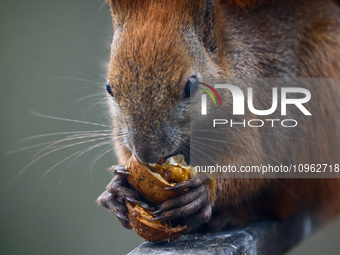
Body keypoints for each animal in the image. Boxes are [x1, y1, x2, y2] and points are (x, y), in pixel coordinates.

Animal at [97, 0, 340, 234]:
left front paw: (206, 190)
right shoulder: (121, 132)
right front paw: (115, 189)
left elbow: (252, 163)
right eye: (109, 88)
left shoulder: (248, 117)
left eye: (190, 86)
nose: (147, 153)